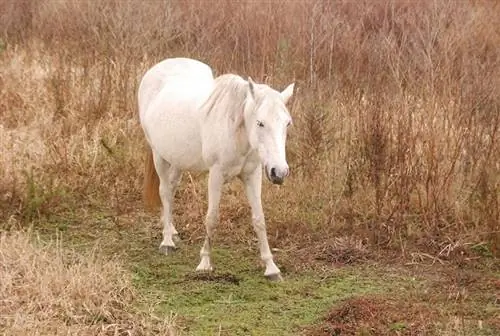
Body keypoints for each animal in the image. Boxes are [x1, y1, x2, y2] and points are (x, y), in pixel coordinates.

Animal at [138, 57, 292, 280]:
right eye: (260, 123)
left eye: (287, 124)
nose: (279, 172)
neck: (237, 131)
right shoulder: (216, 174)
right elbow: (212, 218)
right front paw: (204, 262)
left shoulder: (252, 175)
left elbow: (259, 219)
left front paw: (271, 268)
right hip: (159, 154)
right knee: (165, 192)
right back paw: (167, 242)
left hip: (178, 158)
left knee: (171, 189)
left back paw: (172, 231)